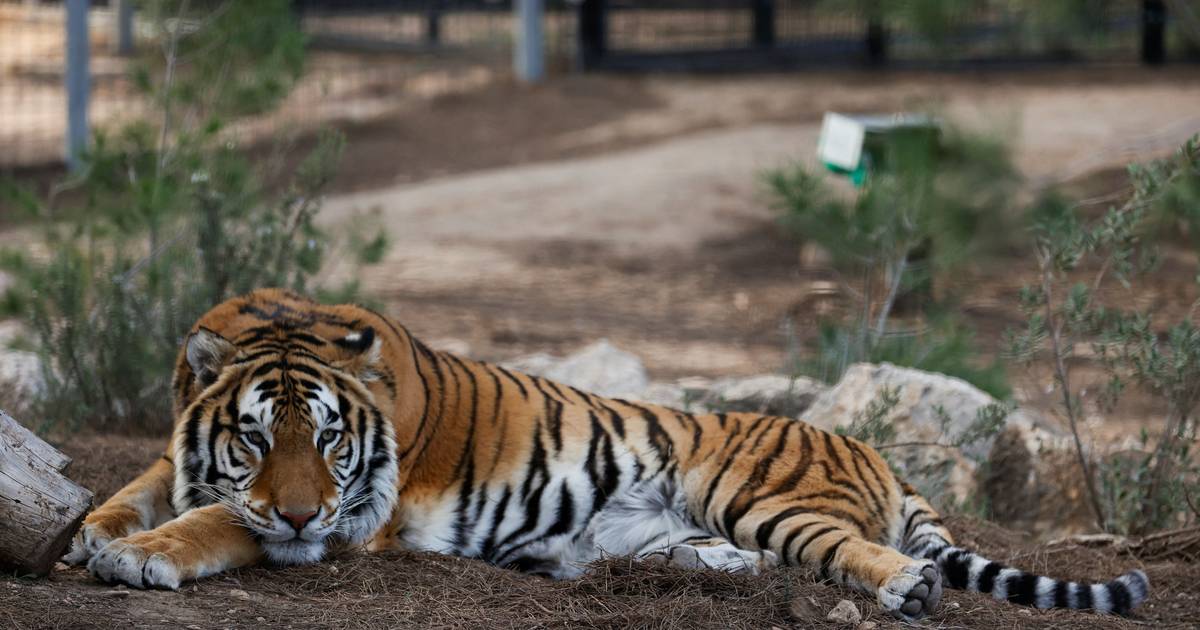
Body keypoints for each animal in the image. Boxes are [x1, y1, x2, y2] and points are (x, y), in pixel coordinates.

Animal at [60, 289, 1147, 619]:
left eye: (328, 436)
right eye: (254, 434)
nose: (297, 509)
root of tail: (874, 451)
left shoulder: (349, 522)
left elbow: (216, 523)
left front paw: (140, 557)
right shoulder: (179, 457)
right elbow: (137, 488)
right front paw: (88, 535)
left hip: (763, 494)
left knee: (856, 552)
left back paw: (907, 589)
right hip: (660, 532)